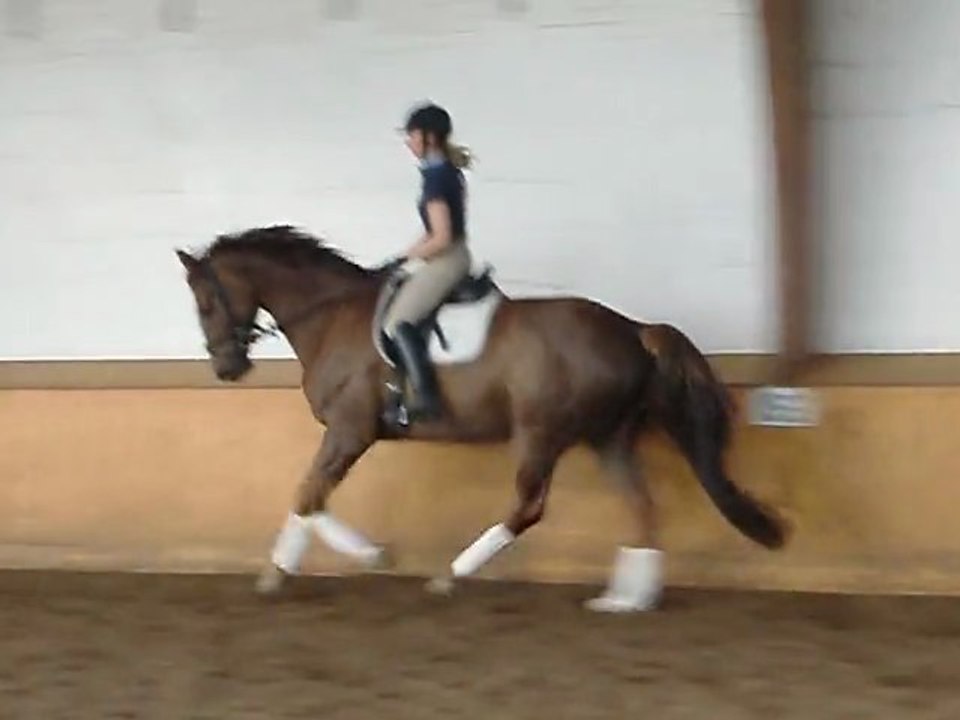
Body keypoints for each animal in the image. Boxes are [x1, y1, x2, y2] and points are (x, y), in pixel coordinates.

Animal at [175, 225, 787, 612]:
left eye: (204, 301)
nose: (227, 367)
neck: (332, 316)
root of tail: (634, 329)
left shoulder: (351, 430)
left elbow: (307, 492)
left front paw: (286, 570)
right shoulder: (350, 434)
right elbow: (312, 495)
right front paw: (359, 555)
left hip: (541, 431)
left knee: (530, 506)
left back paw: (452, 576)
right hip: (608, 437)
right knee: (640, 506)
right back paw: (626, 599)